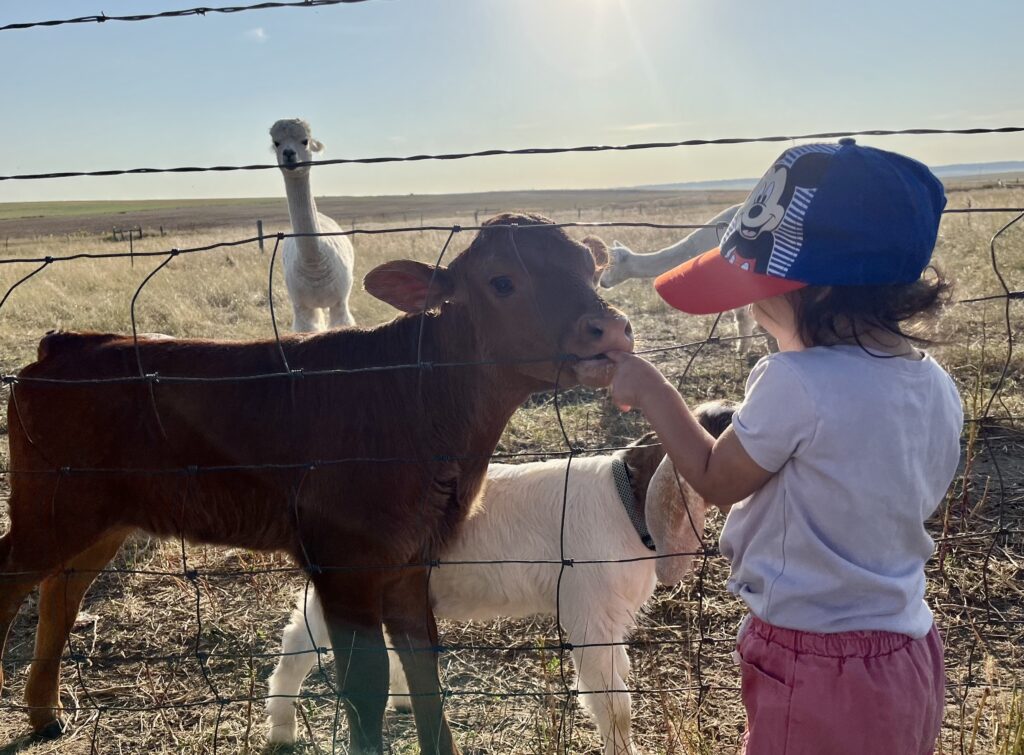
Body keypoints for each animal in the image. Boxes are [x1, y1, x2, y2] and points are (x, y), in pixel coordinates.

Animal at [0, 212, 634, 753]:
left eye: (591, 269)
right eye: (502, 282)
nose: (610, 329)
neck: (420, 402)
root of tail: (68, 342)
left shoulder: (411, 558)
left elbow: (423, 666)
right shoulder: (342, 560)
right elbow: (366, 683)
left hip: (100, 518)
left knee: (61, 592)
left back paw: (46, 714)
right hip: (50, 509)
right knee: (14, 582)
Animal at [264, 405, 729, 753]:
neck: (627, 503)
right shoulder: (591, 613)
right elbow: (615, 704)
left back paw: (400, 701)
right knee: (300, 640)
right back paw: (282, 729)